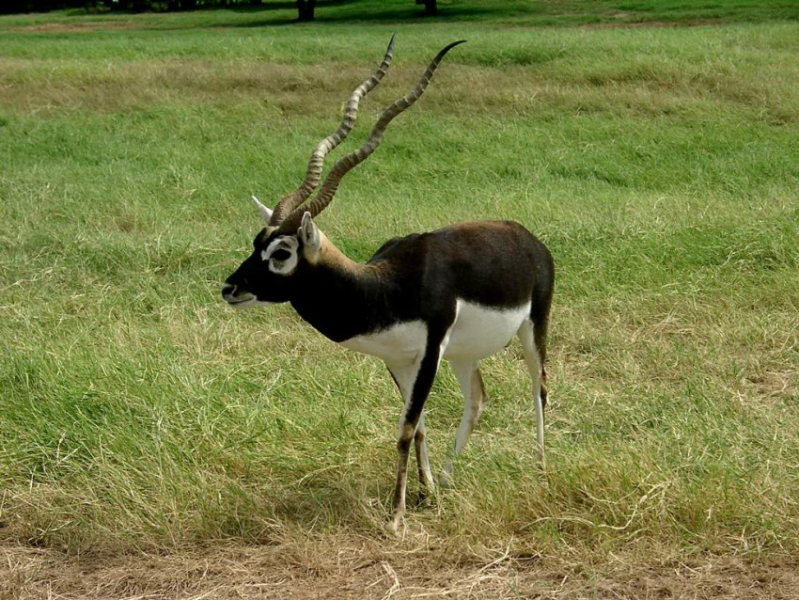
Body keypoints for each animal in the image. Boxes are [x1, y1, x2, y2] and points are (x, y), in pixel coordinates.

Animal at [222, 37, 552, 532]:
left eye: (281, 253)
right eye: (255, 242)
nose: (230, 288)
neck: (384, 289)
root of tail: (526, 236)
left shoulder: (430, 352)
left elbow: (404, 430)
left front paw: (396, 517)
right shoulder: (399, 361)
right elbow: (419, 428)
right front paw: (427, 494)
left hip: (533, 331)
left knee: (539, 387)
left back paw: (541, 467)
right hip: (464, 354)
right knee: (477, 398)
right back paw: (451, 477)